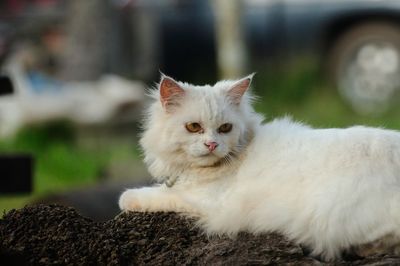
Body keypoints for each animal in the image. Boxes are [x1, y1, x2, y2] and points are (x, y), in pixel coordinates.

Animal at [119, 74, 400, 260]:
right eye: (193, 127)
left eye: (225, 128)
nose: (212, 144)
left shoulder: (206, 202)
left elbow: (158, 195)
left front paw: (127, 197)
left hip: (333, 213)